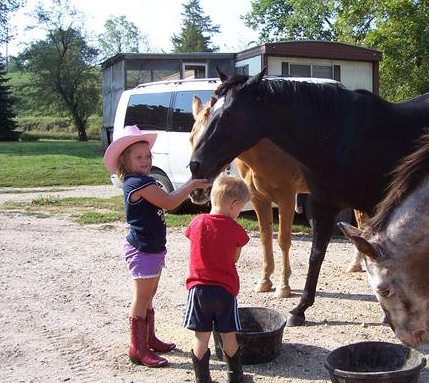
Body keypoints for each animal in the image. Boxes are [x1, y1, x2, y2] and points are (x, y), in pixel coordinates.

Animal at [192, 94, 366, 298]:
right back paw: (356, 264)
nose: (196, 191)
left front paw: (284, 286)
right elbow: (265, 237)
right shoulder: (259, 200)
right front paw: (265, 281)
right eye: (191, 139)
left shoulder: (287, 198)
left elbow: (283, 240)